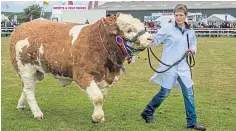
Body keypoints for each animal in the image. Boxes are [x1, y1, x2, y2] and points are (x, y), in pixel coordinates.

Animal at [9, 12, 152, 122]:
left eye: (142, 25)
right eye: (128, 30)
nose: (150, 38)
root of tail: (21, 28)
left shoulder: (104, 79)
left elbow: (102, 97)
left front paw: (100, 116)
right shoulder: (82, 75)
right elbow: (98, 97)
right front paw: (97, 118)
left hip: (37, 72)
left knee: (25, 89)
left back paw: (21, 105)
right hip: (26, 68)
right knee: (29, 91)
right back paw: (37, 113)